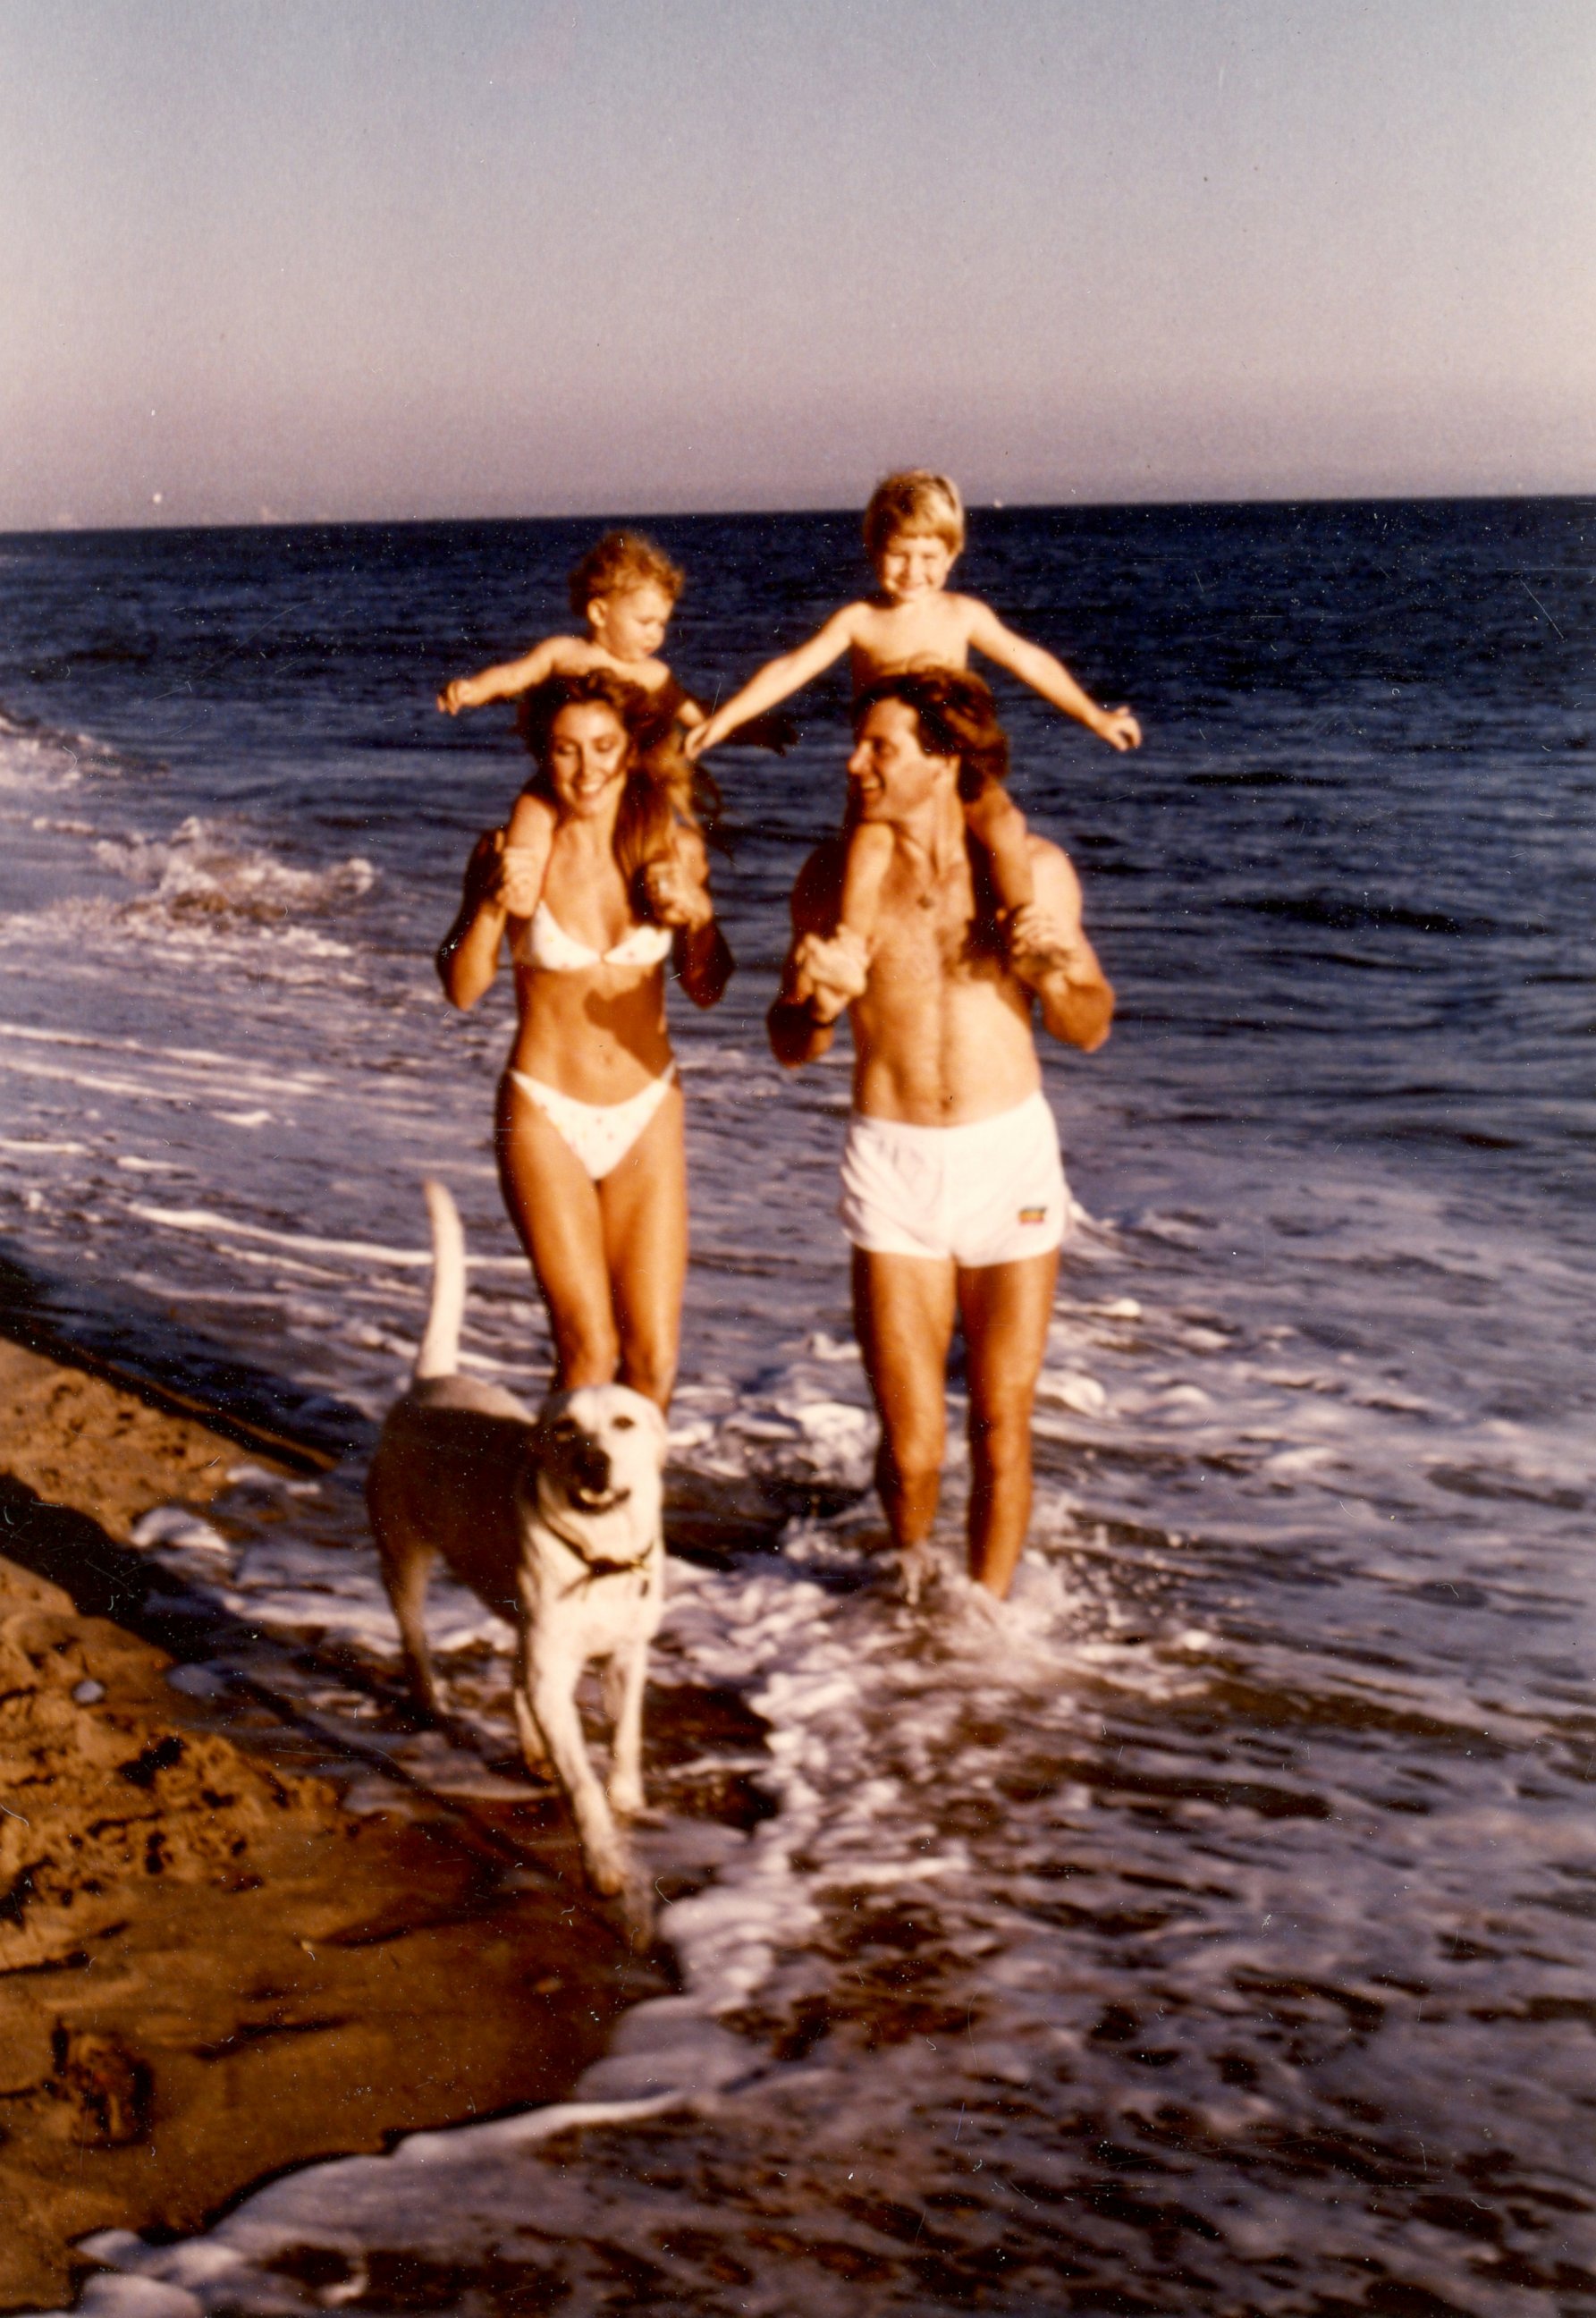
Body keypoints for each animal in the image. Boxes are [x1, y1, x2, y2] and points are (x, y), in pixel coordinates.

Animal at [367, 1187, 667, 1909]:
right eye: (563, 1429)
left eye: (624, 1422)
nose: (593, 1461)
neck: (600, 1555)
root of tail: (430, 1381)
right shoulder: (554, 1667)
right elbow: (580, 1780)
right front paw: (603, 1860)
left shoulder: (627, 1654)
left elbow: (624, 1736)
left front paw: (626, 1795)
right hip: (404, 1557)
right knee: (416, 1640)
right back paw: (432, 1704)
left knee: (512, 1671)